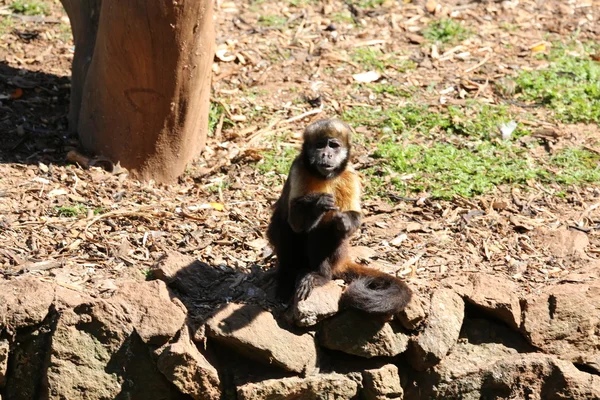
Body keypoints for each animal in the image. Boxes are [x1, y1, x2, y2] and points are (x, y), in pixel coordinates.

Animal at [268, 119, 412, 316]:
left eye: (334, 146)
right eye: (320, 145)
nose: (326, 154)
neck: (324, 176)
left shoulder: (350, 173)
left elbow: (351, 217)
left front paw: (344, 221)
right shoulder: (298, 168)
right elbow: (294, 223)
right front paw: (318, 203)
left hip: (338, 254)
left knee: (324, 229)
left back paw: (321, 275)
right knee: (284, 226)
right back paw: (287, 277)